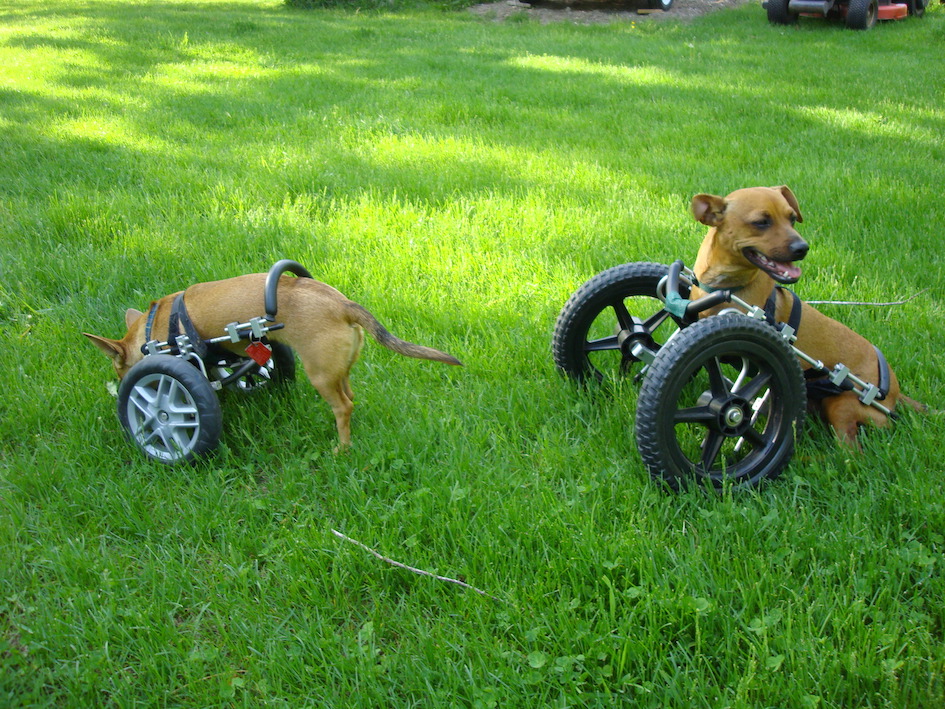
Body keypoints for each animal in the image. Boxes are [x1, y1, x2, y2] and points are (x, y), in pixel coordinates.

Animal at [85, 276, 460, 448]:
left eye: (118, 368)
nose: (121, 380)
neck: (150, 331)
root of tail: (343, 304)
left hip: (320, 375)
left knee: (343, 407)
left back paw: (341, 447)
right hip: (338, 369)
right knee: (351, 396)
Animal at [684, 185, 920, 446]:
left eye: (792, 219)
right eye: (761, 222)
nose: (803, 248)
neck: (726, 285)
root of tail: (894, 392)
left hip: (842, 407)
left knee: (849, 446)